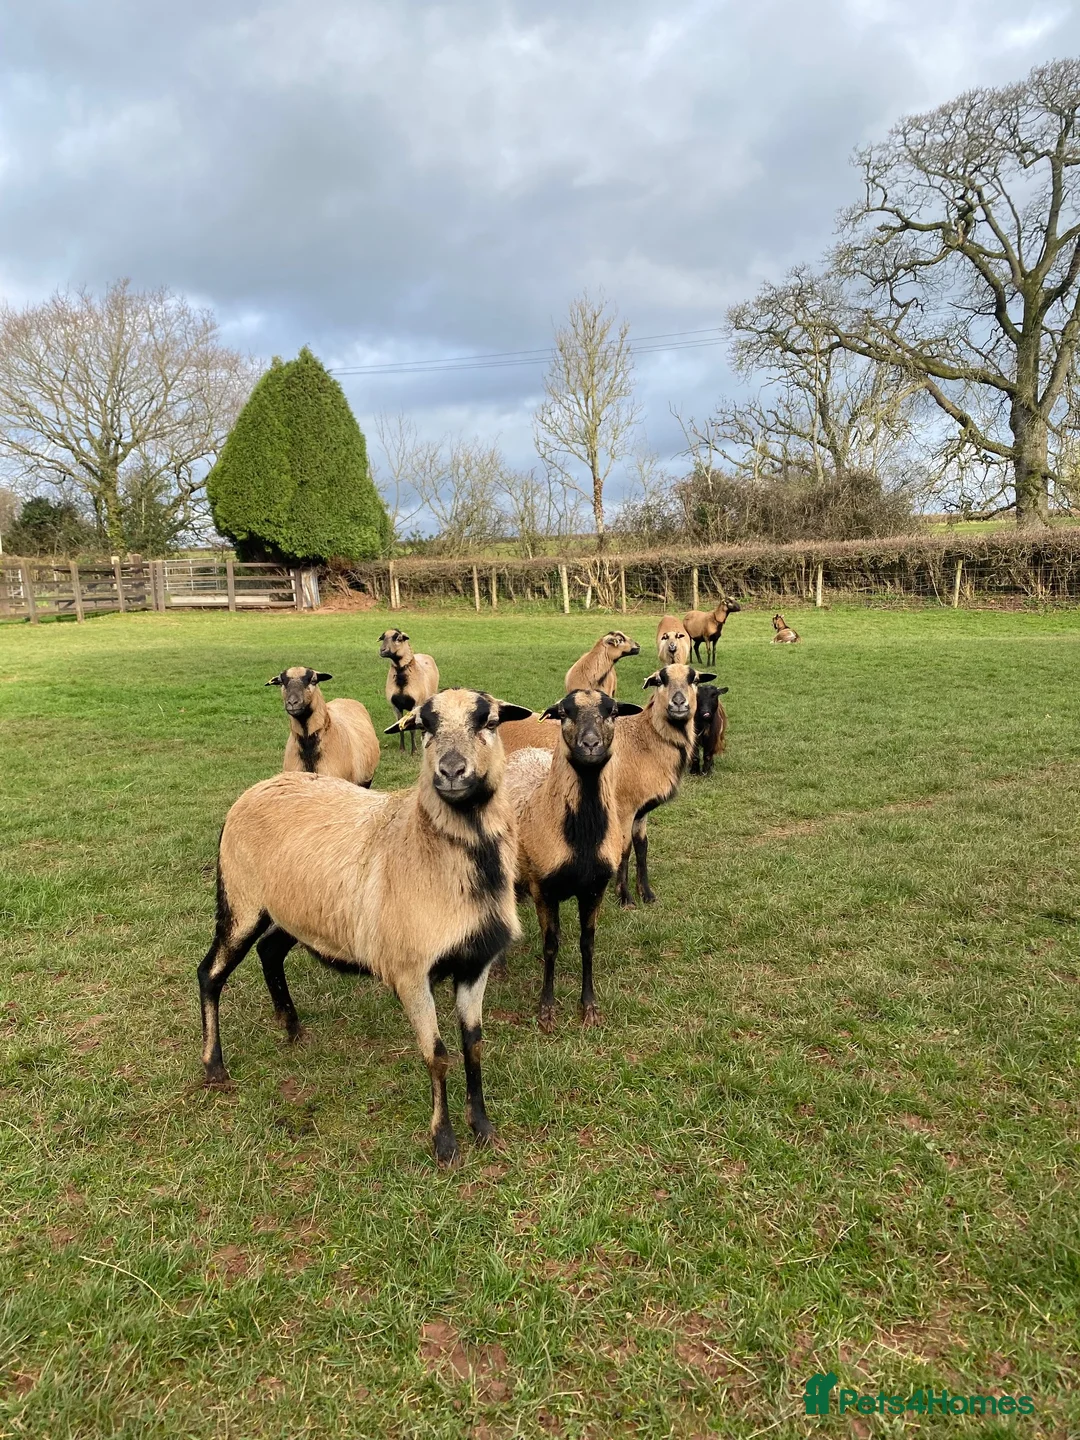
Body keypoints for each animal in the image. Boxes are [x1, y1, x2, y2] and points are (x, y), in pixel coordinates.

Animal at [196, 688, 533, 1166]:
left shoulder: (475, 964)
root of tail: (256, 789)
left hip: (292, 911)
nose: (451, 771)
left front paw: (483, 1129)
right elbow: (437, 1055)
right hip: (241, 901)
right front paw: (445, 1143)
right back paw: (215, 1067)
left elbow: (474, 1046)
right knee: (210, 973)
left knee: (269, 951)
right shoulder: (410, 971)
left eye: (489, 721)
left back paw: (292, 1027)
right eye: (425, 726)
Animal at [503, 689, 642, 1030]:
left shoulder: (595, 888)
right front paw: (546, 1010)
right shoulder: (543, 888)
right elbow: (550, 946)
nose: (590, 744)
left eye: (613, 712)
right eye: (564, 713)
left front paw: (589, 1007)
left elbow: (587, 944)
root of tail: (525, 752)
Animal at [613, 663, 715, 907]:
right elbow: (624, 850)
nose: (678, 703)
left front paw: (647, 894)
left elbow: (642, 848)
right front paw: (625, 898)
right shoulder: (624, 807)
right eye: (659, 681)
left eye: (694, 680)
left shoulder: (641, 811)